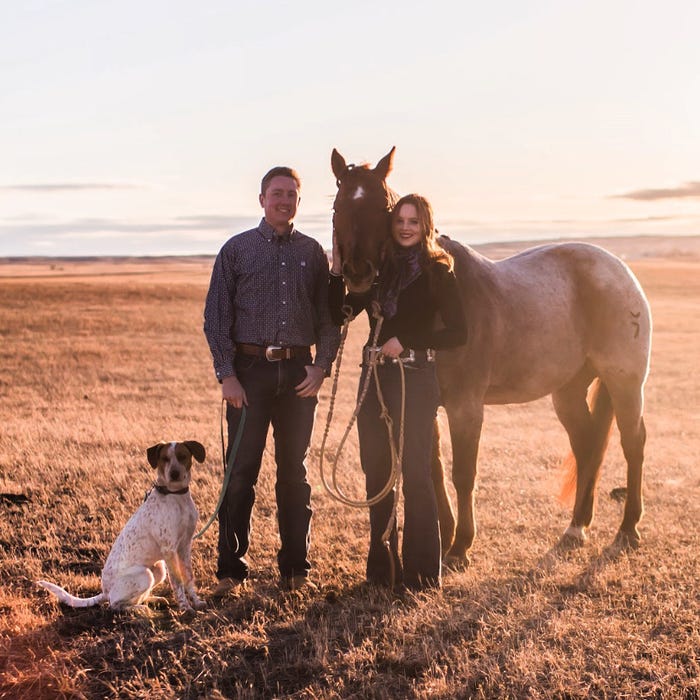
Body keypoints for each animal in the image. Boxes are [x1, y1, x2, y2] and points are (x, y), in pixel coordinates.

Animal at [38, 442, 206, 612]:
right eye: (164, 458)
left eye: (182, 456)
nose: (174, 474)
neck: (176, 496)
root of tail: (105, 591)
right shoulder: (169, 550)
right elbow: (177, 582)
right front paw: (185, 608)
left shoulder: (185, 545)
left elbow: (188, 577)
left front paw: (197, 602)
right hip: (145, 575)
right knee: (115, 604)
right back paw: (140, 609)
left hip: (158, 570)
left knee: (134, 598)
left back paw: (153, 600)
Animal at [330, 145, 652, 568]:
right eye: (338, 205)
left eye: (384, 206)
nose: (358, 272)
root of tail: (619, 270)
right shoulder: (424, 404)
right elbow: (433, 470)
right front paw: (445, 537)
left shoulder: (466, 407)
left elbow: (463, 474)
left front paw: (460, 546)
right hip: (568, 392)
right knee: (587, 446)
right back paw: (576, 527)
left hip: (624, 381)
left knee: (633, 443)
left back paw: (627, 530)